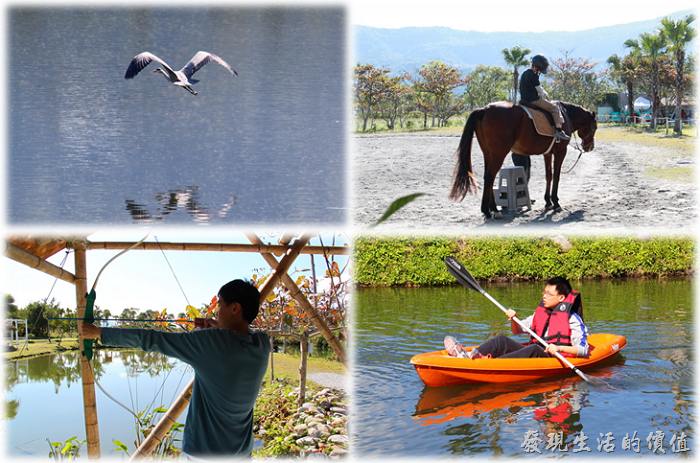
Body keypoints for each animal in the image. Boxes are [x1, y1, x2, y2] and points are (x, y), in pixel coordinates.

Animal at [448, 101, 596, 219]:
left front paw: (548, 202)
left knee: (488, 178)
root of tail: (485, 109)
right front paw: (556, 203)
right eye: (594, 127)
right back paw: (491, 210)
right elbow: (557, 176)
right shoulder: (560, 152)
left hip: (488, 154)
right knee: (490, 177)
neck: (564, 116)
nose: (590, 147)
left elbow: (548, 176)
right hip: (498, 154)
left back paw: (490, 209)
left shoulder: (547, 154)